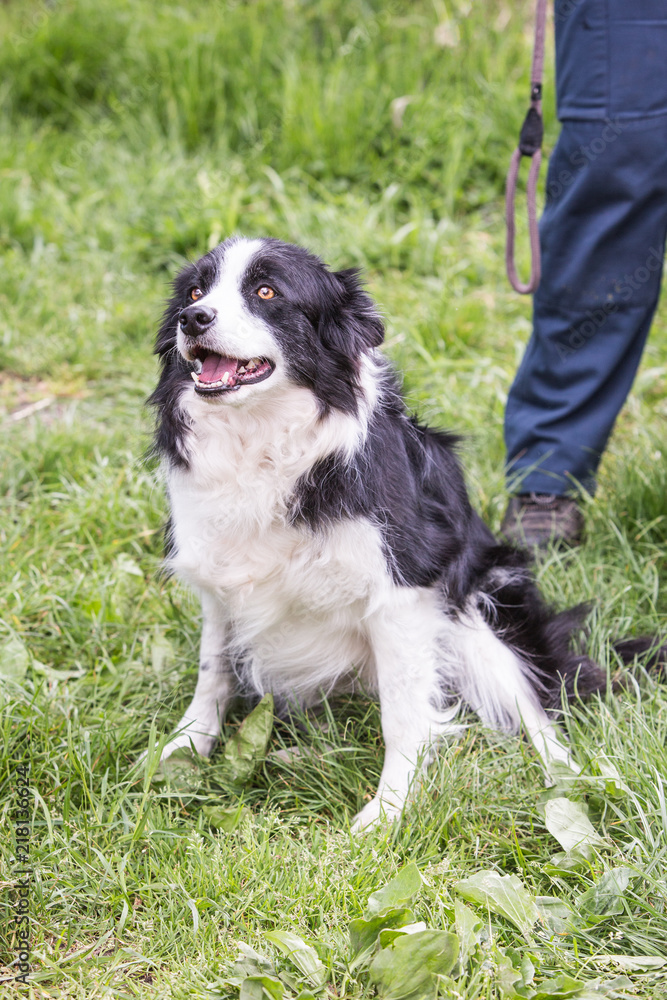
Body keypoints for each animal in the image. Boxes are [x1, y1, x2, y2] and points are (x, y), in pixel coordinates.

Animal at [147, 234, 656, 828]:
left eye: (267, 291)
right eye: (195, 291)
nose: (193, 319)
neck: (262, 442)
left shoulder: (401, 591)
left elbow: (404, 714)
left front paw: (388, 811)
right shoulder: (220, 579)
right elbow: (214, 672)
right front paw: (183, 752)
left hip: (483, 610)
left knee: (536, 709)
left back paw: (575, 782)